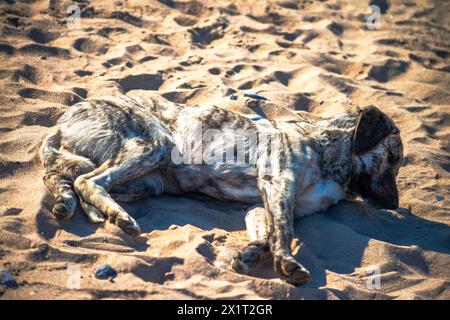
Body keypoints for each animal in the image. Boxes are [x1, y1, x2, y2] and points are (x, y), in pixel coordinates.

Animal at [39, 93, 404, 284]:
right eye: (393, 157)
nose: (395, 204)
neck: (332, 152)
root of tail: (65, 117)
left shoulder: (263, 203)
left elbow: (265, 234)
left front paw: (247, 256)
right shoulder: (279, 183)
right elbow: (283, 232)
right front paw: (286, 263)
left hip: (146, 181)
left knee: (64, 175)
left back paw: (67, 204)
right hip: (154, 144)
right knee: (88, 180)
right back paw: (119, 217)